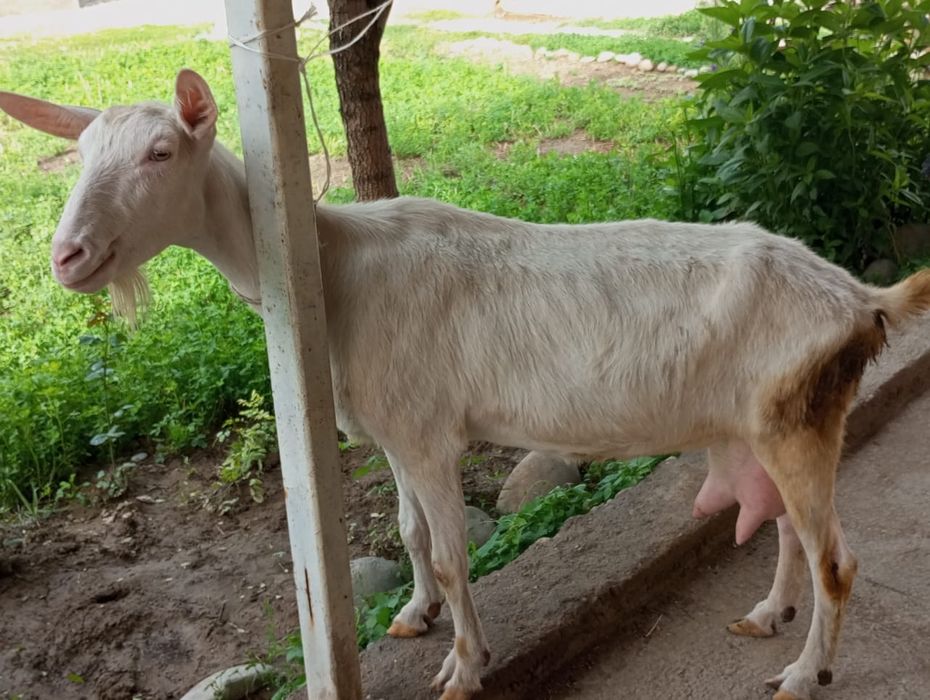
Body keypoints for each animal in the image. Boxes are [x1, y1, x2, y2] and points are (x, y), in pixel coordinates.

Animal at [2, 69, 929, 700]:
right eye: (79, 155)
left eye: (161, 152)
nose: (69, 258)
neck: (329, 269)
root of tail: (861, 298)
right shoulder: (394, 430)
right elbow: (411, 535)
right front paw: (415, 616)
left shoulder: (427, 434)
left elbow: (452, 555)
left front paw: (463, 666)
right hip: (767, 423)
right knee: (787, 529)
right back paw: (768, 617)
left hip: (796, 420)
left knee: (836, 558)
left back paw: (803, 674)